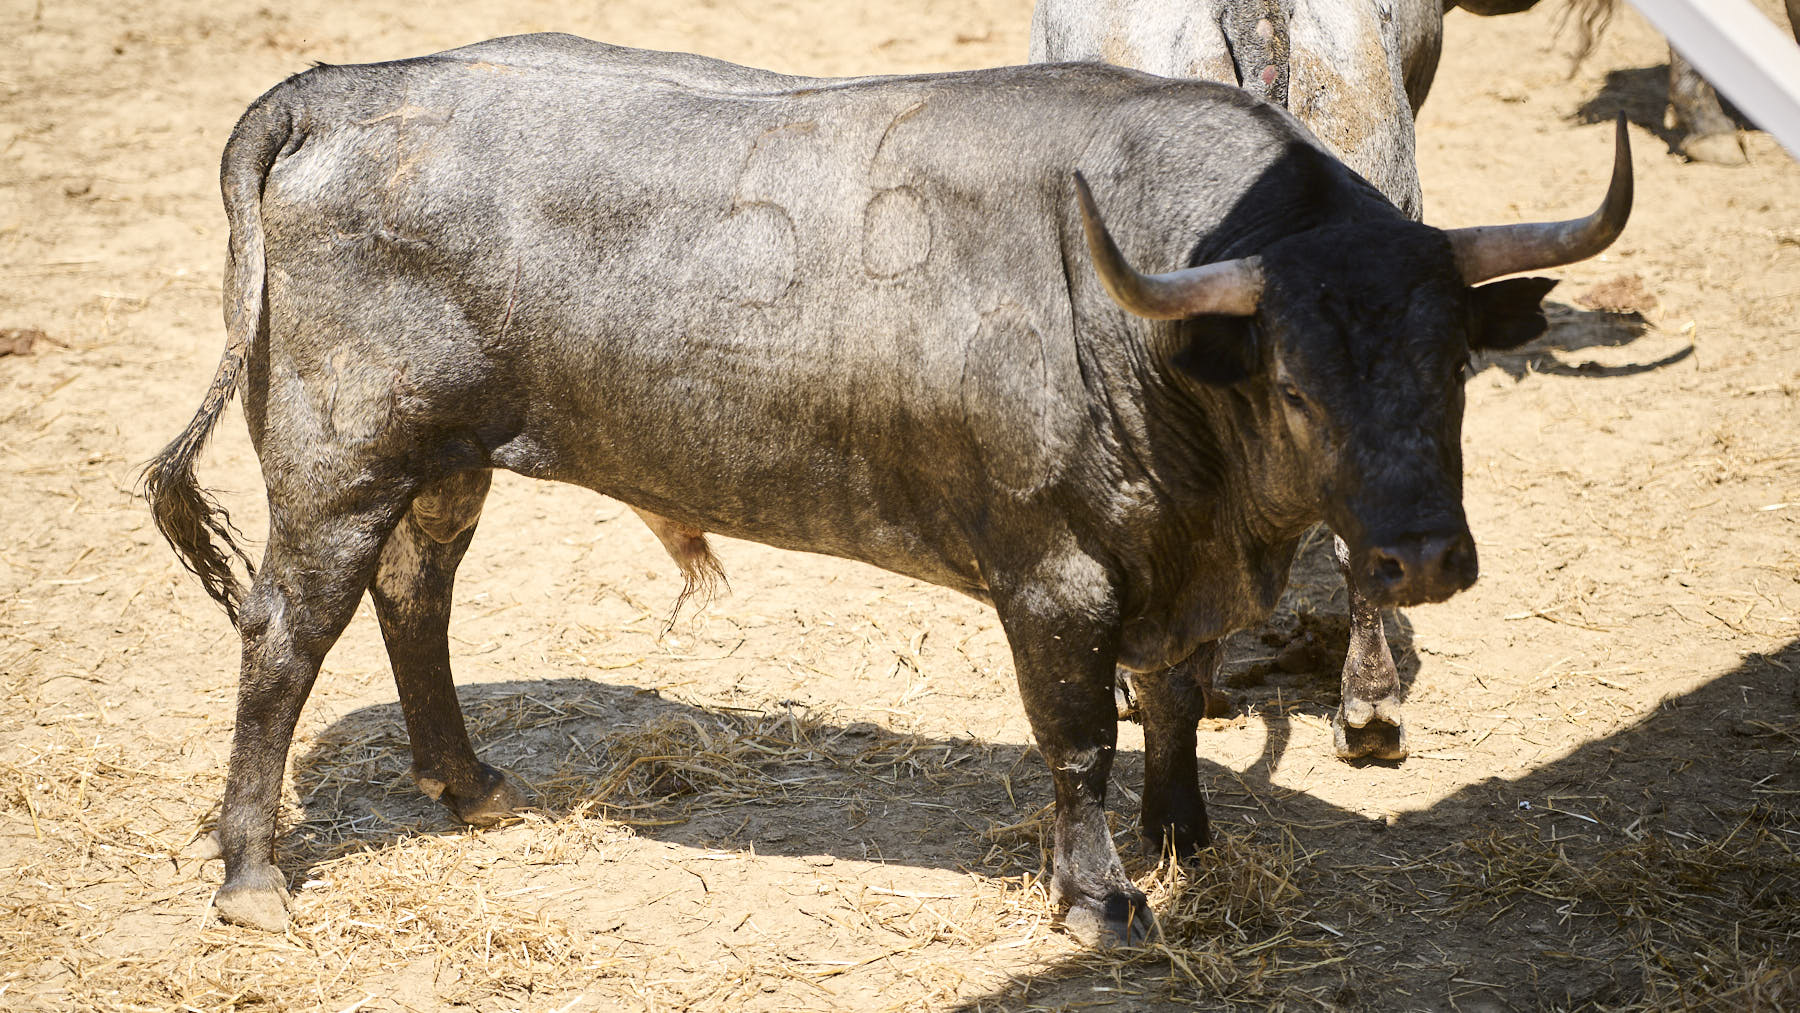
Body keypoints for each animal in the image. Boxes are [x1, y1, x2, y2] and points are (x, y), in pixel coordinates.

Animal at [144, 33, 1634, 950]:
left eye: (1451, 369)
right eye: (1298, 386)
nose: (1422, 556)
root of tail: (338, 86)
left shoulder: (1177, 569)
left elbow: (1174, 703)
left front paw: (1185, 839)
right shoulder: (1055, 579)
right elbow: (1080, 740)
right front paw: (1099, 898)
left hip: (441, 460)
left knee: (418, 594)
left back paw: (469, 784)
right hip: (339, 464)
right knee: (287, 634)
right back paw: (255, 875)